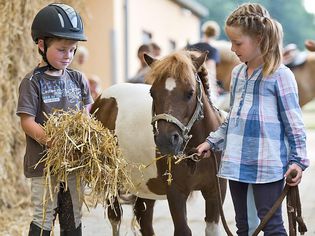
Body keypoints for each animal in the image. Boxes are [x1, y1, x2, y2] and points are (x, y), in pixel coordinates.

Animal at [90, 50, 227, 235]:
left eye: (190, 92)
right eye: (152, 93)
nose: (166, 141)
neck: (196, 153)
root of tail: (101, 101)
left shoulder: (215, 192)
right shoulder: (176, 193)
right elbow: (183, 230)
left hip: (145, 189)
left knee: (145, 222)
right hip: (112, 181)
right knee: (115, 217)